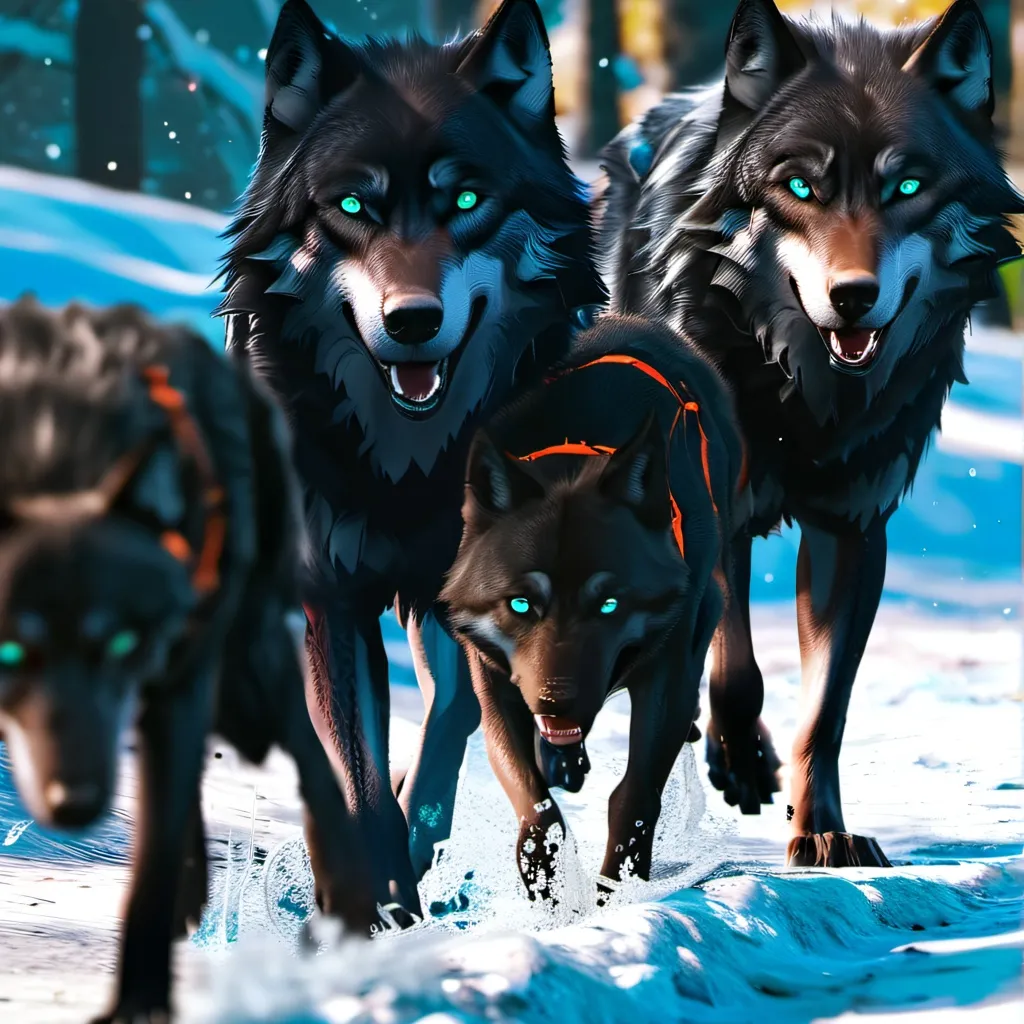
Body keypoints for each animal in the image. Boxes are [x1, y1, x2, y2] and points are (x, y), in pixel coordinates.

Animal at [0, 299, 375, 1024]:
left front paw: (139, 1002)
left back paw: (347, 904)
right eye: (8, 648)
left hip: (248, 667)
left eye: (120, 642)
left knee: (310, 759)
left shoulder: (180, 676)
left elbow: (152, 856)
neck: (55, 455)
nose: (74, 804)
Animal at [218, 0, 603, 915]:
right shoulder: (332, 596)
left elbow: (460, 718)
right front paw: (373, 896)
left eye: (464, 198)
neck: (409, 468)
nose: (413, 320)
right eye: (353, 203)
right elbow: (356, 774)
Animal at [441, 314, 743, 898]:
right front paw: (546, 881)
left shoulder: (670, 670)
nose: (557, 704)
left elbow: (634, 795)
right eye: (520, 603)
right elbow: (531, 796)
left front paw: (616, 892)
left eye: (608, 605)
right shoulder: (494, 679)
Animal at [599, 0, 1024, 867]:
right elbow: (738, 666)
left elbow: (826, 708)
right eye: (800, 186)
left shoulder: (854, 528)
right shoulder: (714, 504)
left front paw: (822, 830)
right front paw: (739, 760)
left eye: (907, 186)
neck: (804, 396)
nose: (852, 296)